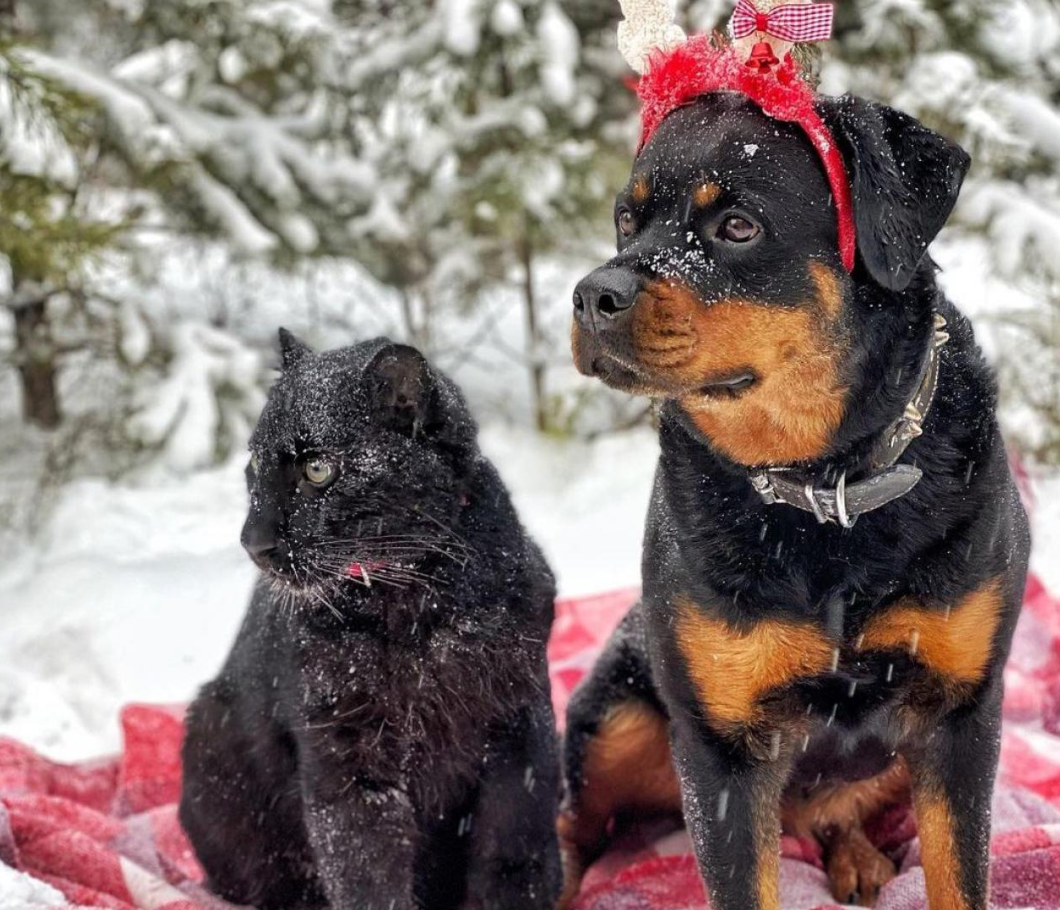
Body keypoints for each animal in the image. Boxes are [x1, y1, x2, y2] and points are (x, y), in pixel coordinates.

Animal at [559, 90, 1030, 907]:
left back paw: (858, 856)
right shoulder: (721, 747)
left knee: (835, 811)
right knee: (568, 830)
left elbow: (958, 873)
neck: (824, 484)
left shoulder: (961, 712)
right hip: (616, 717)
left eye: (738, 226)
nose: (593, 294)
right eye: (626, 219)